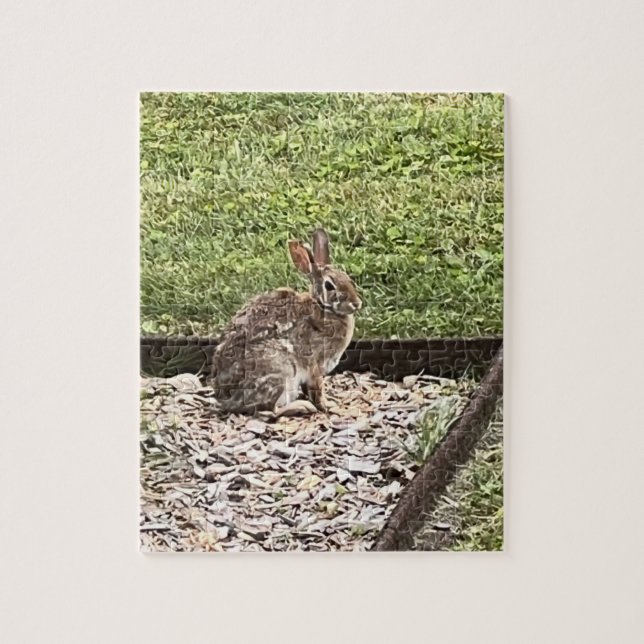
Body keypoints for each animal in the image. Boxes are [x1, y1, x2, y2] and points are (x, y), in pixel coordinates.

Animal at [210, 228, 362, 416]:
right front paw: (328, 406)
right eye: (329, 286)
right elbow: (317, 388)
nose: (356, 303)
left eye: (348, 278)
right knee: (270, 410)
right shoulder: (315, 364)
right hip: (281, 370)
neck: (322, 306)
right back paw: (303, 407)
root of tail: (227, 398)